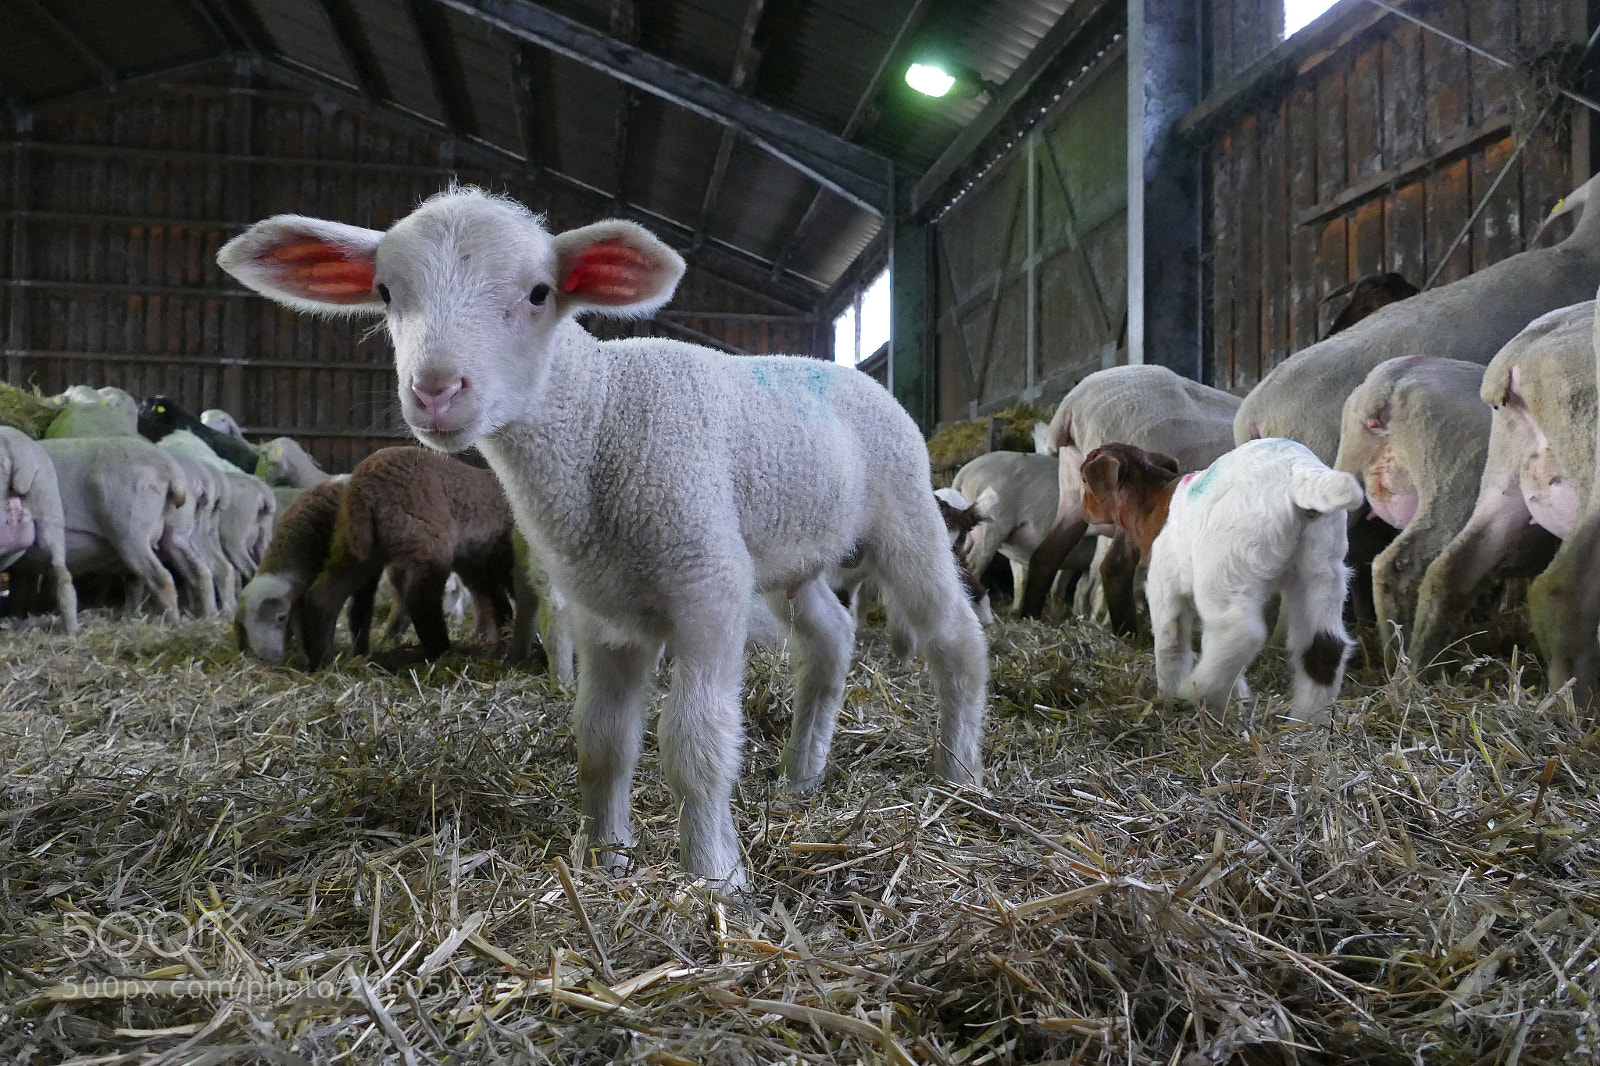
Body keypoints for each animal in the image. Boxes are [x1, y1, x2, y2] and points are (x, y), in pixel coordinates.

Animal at [297, 447, 521, 669]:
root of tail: (364, 486)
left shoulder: (477, 563)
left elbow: (492, 599)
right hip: (427, 543)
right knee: (420, 601)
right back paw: (442, 653)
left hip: (357, 547)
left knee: (323, 596)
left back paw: (324, 661)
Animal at [1082, 439, 1364, 723]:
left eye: (1083, 479)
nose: (1085, 512)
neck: (1150, 503)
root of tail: (1298, 472)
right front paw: (1240, 695)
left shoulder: (1165, 584)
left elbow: (1171, 643)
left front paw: (1168, 694)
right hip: (1321, 568)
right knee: (1325, 647)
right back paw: (1306, 722)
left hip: (1227, 568)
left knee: (1239, 633)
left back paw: (1196, 693)